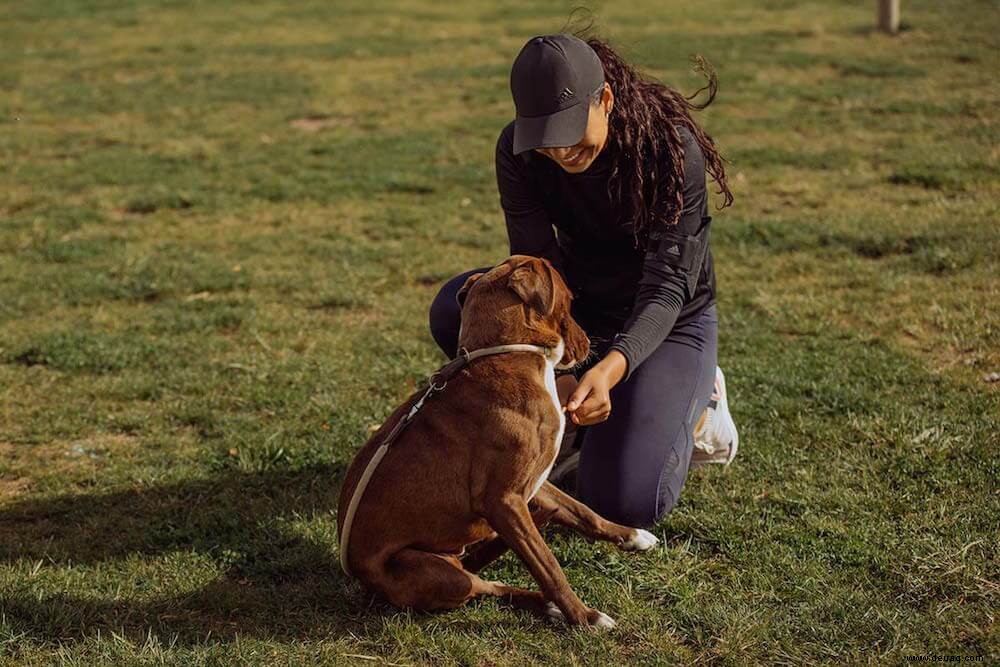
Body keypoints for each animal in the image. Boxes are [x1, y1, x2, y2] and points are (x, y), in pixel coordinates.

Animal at [340, 254, 660, 628]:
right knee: (486, 587)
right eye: (570, 301)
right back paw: (550, 607)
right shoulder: (505, 501)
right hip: (444, 575)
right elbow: (549, 566)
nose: (592, 345)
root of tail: (361, 579)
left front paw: (632, 536)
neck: (507, 353)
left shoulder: (533, 482)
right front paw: (583, 617)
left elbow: (584, 513)